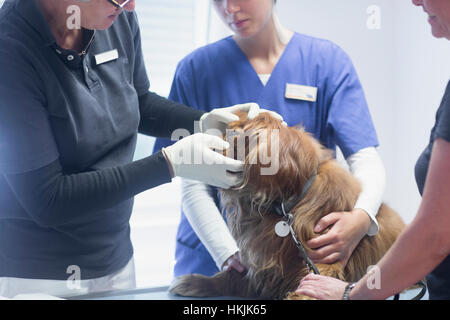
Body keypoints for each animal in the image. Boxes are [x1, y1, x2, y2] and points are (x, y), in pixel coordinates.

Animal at [168, 111, 404, 298]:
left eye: (233, 134)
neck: (284, 204)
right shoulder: (261, 267)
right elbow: (234, 275)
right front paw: (198, 282)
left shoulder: (325, 259)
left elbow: (313, 283)